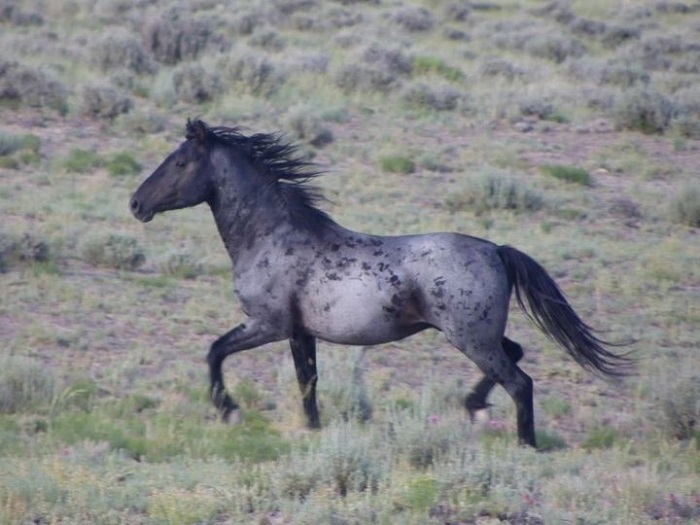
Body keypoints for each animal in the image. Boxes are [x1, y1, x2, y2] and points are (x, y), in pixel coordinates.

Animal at [129, 118, 632, 446]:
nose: (136, 204)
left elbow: (215, 351)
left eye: (179, 162)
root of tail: (496, 250)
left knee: (520, 382)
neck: (272, 236)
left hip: (471, 338)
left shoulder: (267, 324)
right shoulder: (299, 333)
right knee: (515, 357)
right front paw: (313, 430)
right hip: (480, 336)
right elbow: (307, 382)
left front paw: (228, 409)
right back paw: (472, 407)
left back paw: (523, 443)